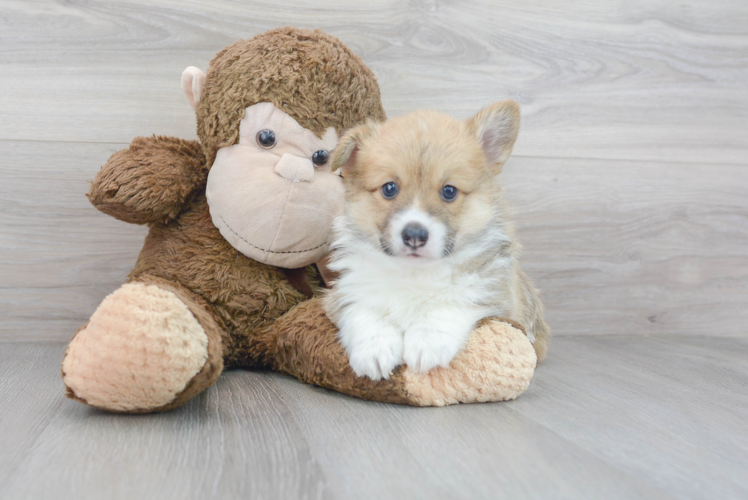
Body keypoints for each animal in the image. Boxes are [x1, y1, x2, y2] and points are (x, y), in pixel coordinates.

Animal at [322, 101, 548, 378]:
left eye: (449, 191)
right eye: (389, 188)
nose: (414, 235)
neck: (415, 273)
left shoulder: (499, 298)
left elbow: (452, 304)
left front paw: (426, 343)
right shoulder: (343, 293)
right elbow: (363, 312)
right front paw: (375, 350)